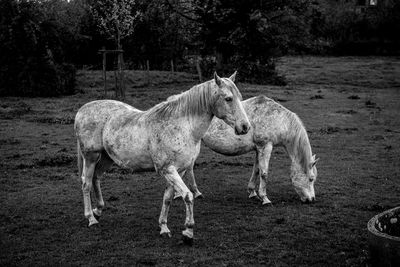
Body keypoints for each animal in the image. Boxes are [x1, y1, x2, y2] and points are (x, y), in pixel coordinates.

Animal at [74, 72, 250, 244]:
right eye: (228, 98)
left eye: (239, 97)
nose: (245, 127)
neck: (183, 127)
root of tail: (82, 110)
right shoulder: (168, 170)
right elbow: (188, 196)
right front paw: (188, 232)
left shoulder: (178, 170)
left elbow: (168, 199)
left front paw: (164, 228)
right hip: (91, 157)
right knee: (86, 183)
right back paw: (91, 218)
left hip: (106, 158)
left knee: (96, 178)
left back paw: (98, 210)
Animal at [183, 94, 318, 205]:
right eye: (311, 178)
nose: (311, 199)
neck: (277, 119)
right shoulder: (265, 146)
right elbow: (264, 173)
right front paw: (265, 198)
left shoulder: (259, 149)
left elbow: (256, 170)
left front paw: (253, 193)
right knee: (188, 169)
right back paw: (196, 193)